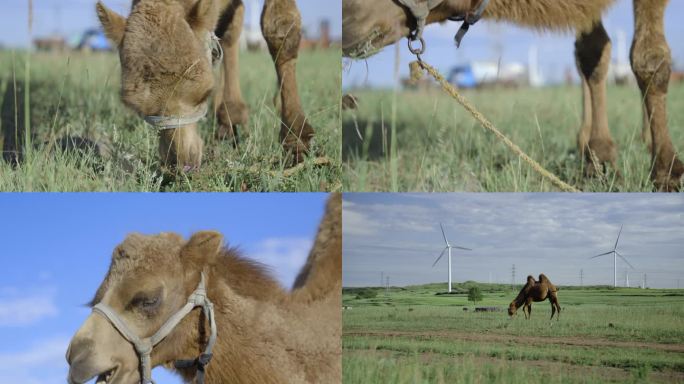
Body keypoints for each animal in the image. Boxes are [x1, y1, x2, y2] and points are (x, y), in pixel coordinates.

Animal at [97, 0, 316, 169]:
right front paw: (230, 118)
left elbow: (280, 27)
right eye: (138, 108)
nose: (181, 162)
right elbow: (227, 27)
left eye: (204, 94)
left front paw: (296, 139)